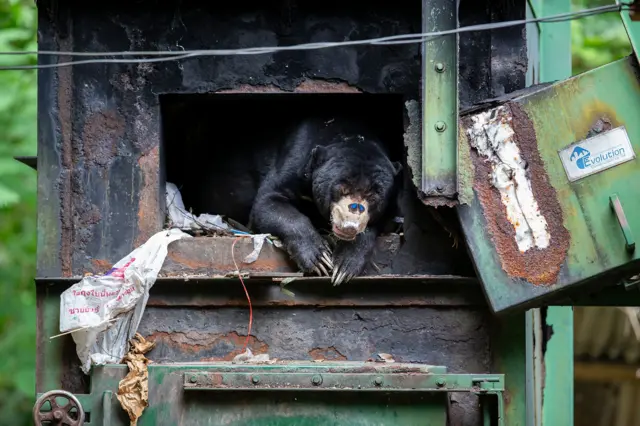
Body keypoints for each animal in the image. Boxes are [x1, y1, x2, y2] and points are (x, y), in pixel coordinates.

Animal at [248, 114, 402, 285]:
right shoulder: (296, 160)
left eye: (372, 196)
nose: (350, 226)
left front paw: (344, 266)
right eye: (342, 189)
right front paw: (319, 259)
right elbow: (268, 200)